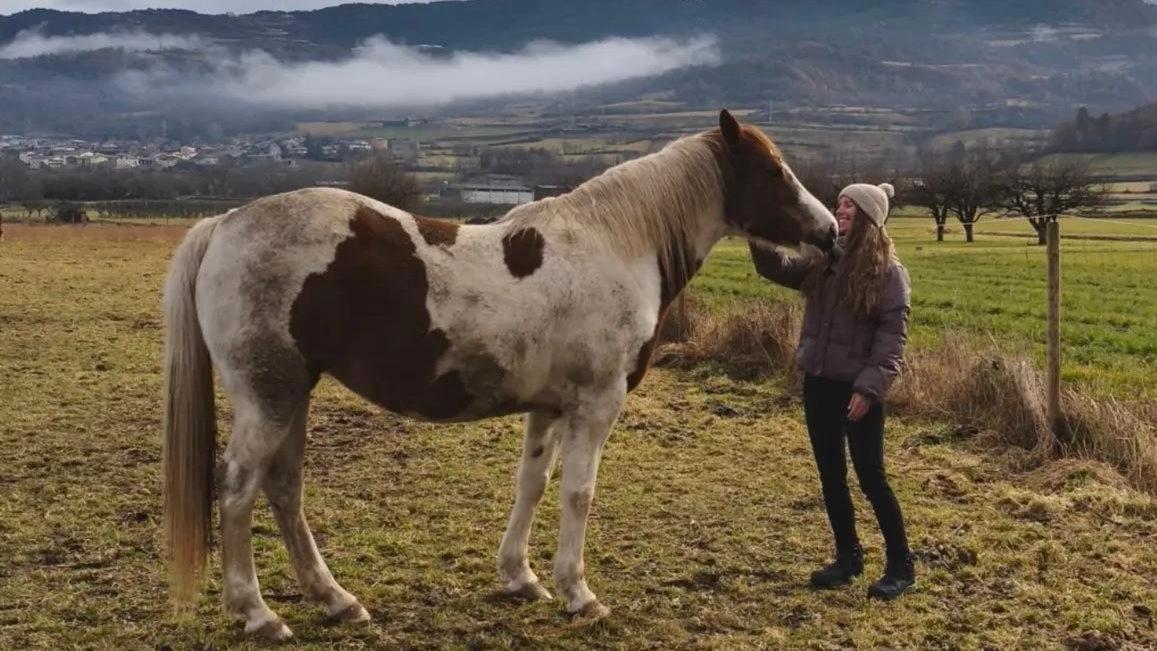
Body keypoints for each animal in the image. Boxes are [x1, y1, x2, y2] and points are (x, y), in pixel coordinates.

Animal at [162, 109, 837, 640]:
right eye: (774, 172)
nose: (830, 231)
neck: (616, 246)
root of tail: (225, 223)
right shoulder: (596, 404)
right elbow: (578, 493)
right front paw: (579, 594)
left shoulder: (549, 407)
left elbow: (531, 484)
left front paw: (521, 578)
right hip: (268, 398)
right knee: (238, 488)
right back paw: (258, 613)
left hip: (293, 397)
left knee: (284, 489)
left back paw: (336, 601)